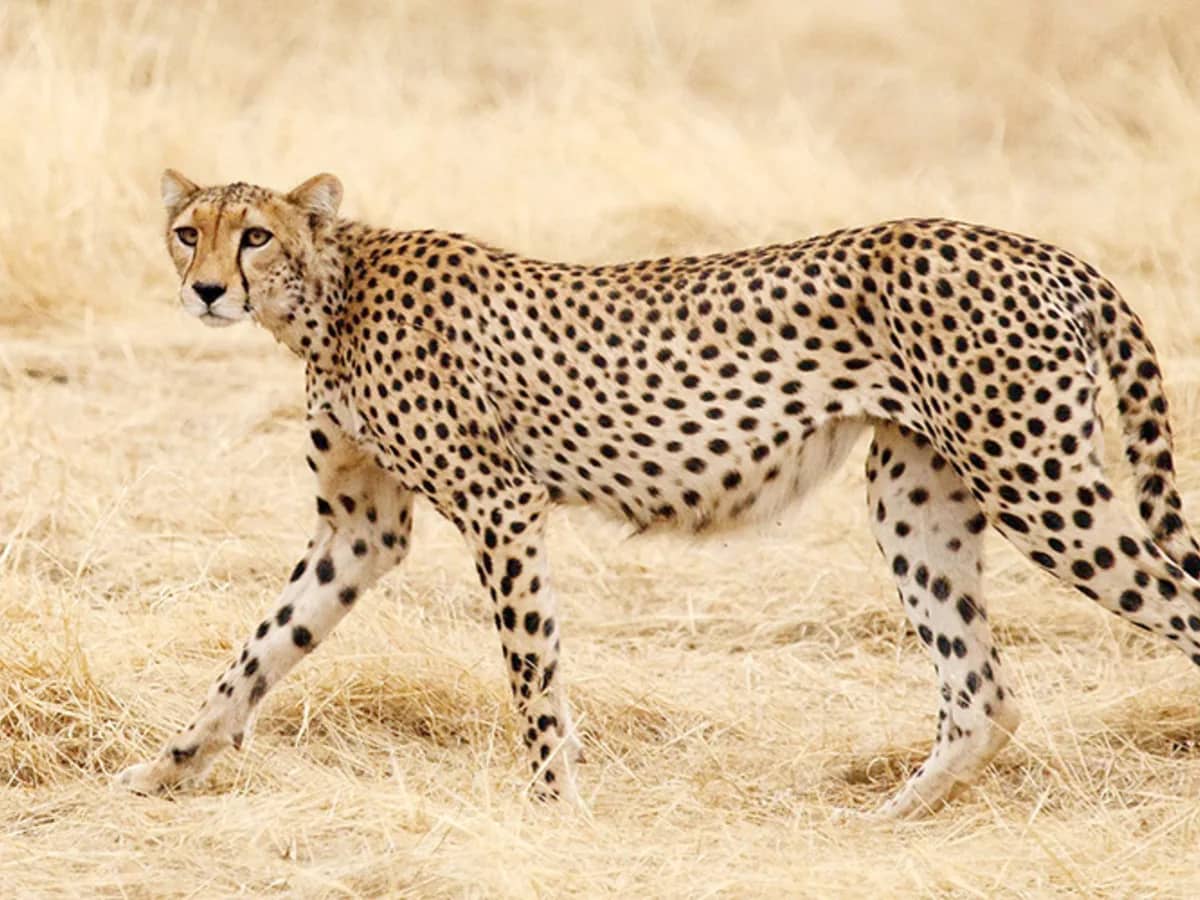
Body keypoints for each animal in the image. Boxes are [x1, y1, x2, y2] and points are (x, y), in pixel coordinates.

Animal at [116, 170, 1200, 818]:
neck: (328, 299)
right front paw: (167, 765)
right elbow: (258, 651)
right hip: (918, 496)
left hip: (1039, 482)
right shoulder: (360, 528)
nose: (207, 289)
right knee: (983, 694)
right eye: (188, 231)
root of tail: (1039, 248)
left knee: (1173, 608)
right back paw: (884, 823)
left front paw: (553, 809)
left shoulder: (501, 504)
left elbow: (532, 672)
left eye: (256, 236)